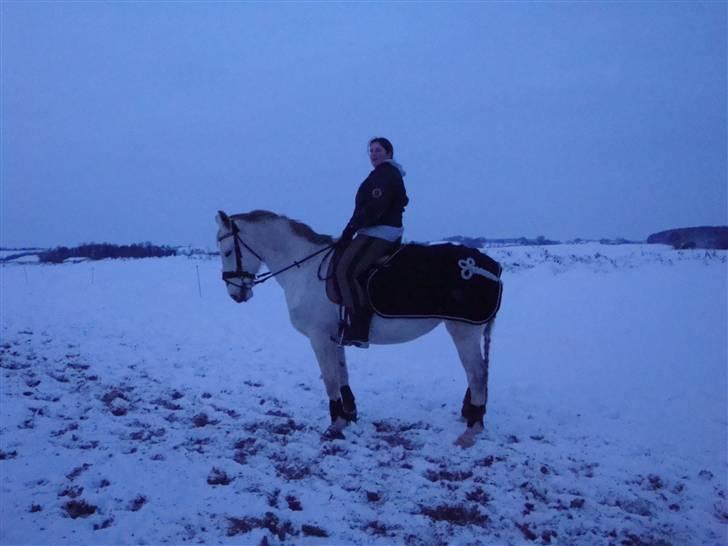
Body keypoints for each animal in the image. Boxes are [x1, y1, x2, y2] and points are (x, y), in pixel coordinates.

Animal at [215, 208, 494, 446]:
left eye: (226, 251)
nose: (234, 294)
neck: (305, 270)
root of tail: (490, 267)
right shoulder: (334, 337)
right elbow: (342, 376)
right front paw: (348, 416)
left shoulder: (319, 337)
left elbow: (329, 379)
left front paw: (335, 424)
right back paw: (472, 417)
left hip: (463, 331)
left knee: (477, 374)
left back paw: (471, 431)